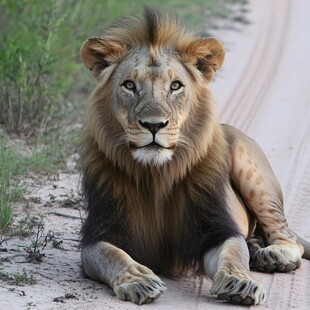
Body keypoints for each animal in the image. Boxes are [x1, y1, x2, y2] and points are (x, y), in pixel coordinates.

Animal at [79, 6, 310, 306]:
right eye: (129, 85)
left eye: (176, 86)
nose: (154, 125)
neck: (156, 175)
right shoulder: (97, 236)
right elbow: (114, 256)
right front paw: (139, 280)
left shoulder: (216, 230)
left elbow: (233, 254)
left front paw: (240, 282)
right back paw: (257, 248)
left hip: (253, 171)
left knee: (287, 235)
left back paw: (274, 255)